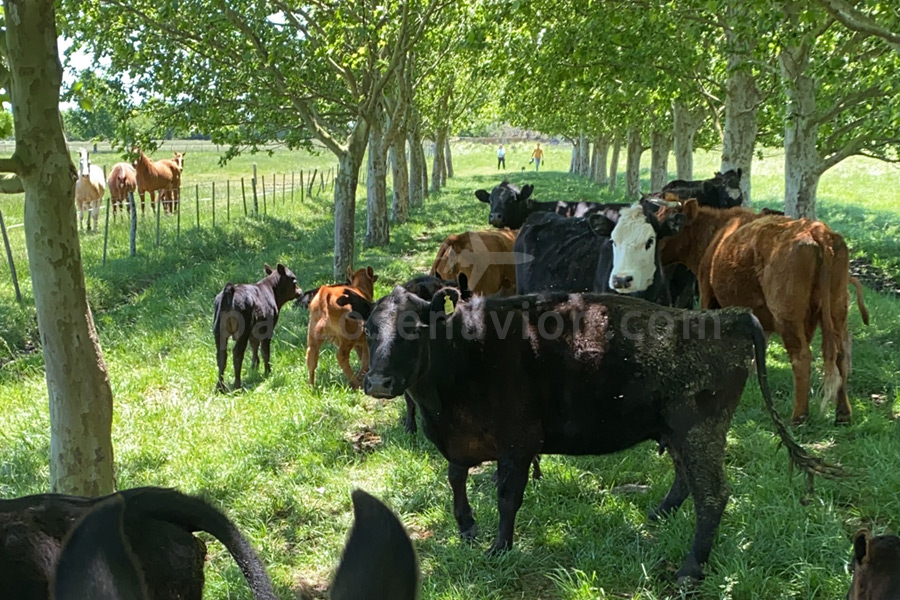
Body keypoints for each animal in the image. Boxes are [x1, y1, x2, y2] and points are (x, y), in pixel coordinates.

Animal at [214, 262, 302, 390]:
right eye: (294, 280)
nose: (300, 291)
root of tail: (229, 290)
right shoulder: (268, 328)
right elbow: (265, 350)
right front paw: (267, 371)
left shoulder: (254, 331)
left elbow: (254, 345)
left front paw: (254, 367)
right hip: (242, 331)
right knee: (237, 353)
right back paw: (237, 385)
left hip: (219, 331)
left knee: (221, 356)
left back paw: (220, 387)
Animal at [362, 288, 840, 584]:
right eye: (369, 328)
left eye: (414, 328)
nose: (379, 382)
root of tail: (725, 317)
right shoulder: (459, 441)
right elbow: (456, 477)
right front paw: (465, 527)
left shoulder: (519, 443)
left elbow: (506, 497)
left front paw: (499, 549)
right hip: (678, 432)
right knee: (686, 479)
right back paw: (658, 515)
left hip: (700, 430)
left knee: (713, 494)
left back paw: (690, 569)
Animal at [652, 199, 864, 424]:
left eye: (667, 228)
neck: (717, 233)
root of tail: (818, 231)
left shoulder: (708, 298)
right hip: (836, 309)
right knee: (841, 354)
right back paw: (843, 413)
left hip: (787, 314)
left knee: (802, 356)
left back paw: (799, 417)